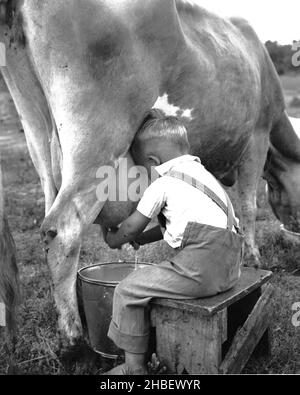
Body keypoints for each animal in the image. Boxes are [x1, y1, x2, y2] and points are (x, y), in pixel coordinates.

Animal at [0, 0, 298, 346]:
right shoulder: (257, 138)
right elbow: (248, 206)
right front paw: (252, 258)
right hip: (96, 141)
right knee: (63, 230)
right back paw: (73, 337)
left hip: (37, 131)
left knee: (48, 222)